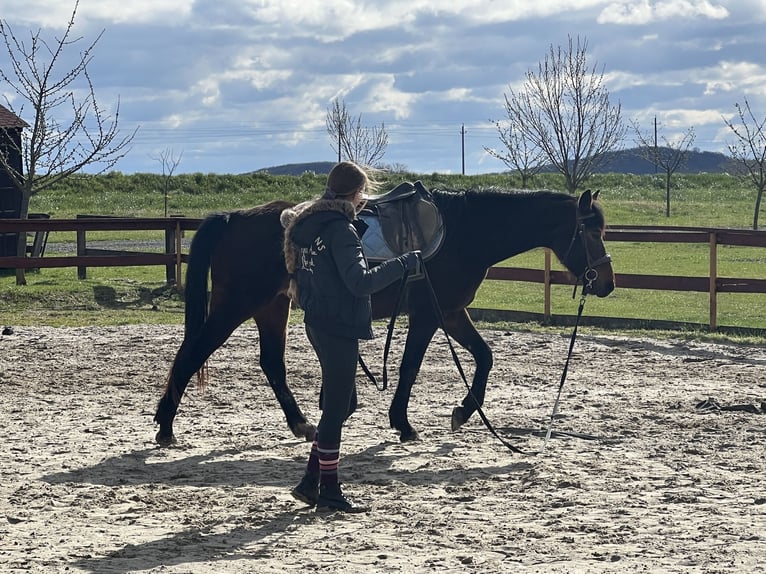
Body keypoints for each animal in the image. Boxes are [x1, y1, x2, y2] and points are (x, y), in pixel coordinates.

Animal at [153, 187, 615, 446]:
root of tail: (234, 217)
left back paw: (302, 425)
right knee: (192, 353)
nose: (607, 282)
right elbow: (410, 366)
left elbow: (485, 357)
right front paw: (403, 423)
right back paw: (165, 426)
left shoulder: (451, 312)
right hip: (236, 305)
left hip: (271, 307)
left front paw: (464, 411)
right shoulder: (429, 314)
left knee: (271, 364)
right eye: (592, 231)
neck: (466, 233)